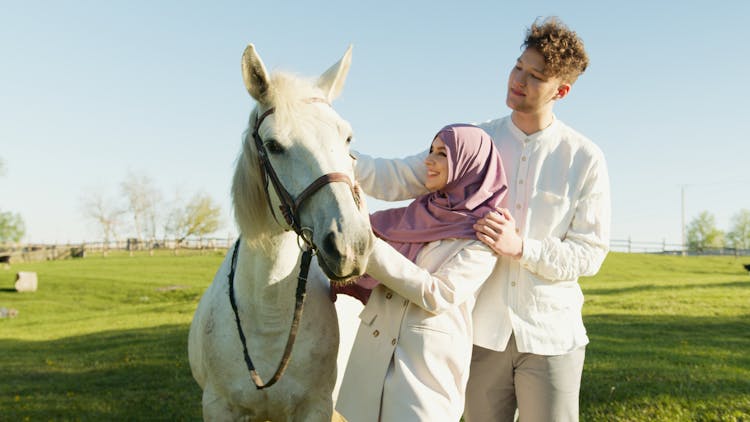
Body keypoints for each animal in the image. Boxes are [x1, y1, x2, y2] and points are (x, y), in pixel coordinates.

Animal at [189, 44, 374, 420]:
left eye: (347, 137)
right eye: (273, 145)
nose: (351, 245)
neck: (268, 314)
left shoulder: (316, 407)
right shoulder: (219, 406)